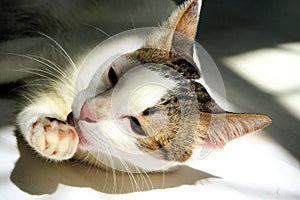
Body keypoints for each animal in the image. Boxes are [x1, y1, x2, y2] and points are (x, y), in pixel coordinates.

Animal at [0, 0, 272, 173]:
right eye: (112, 75)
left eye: (136, 124)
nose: (87, 110)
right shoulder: (45, 46)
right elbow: (11, 58)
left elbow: (33, 110)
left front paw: (55, 134)